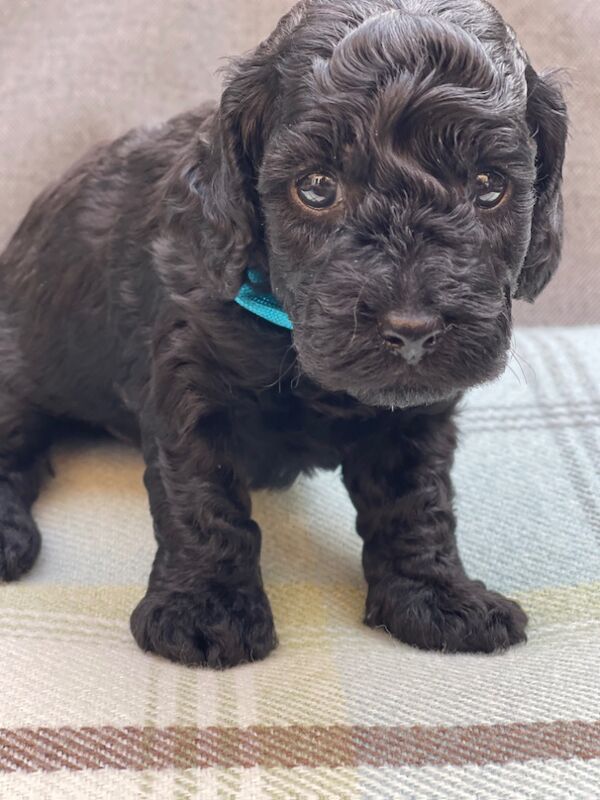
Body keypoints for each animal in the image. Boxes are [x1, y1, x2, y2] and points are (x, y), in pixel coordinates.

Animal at [0, 0, 568, 664]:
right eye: (316, 187)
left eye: (488, 186)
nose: (412, 331)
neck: (286, 335)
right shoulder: (188, 379)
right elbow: (204, 500)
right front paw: (206, 609)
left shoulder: (413, 413)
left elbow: (417, 502)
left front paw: (436, 599)